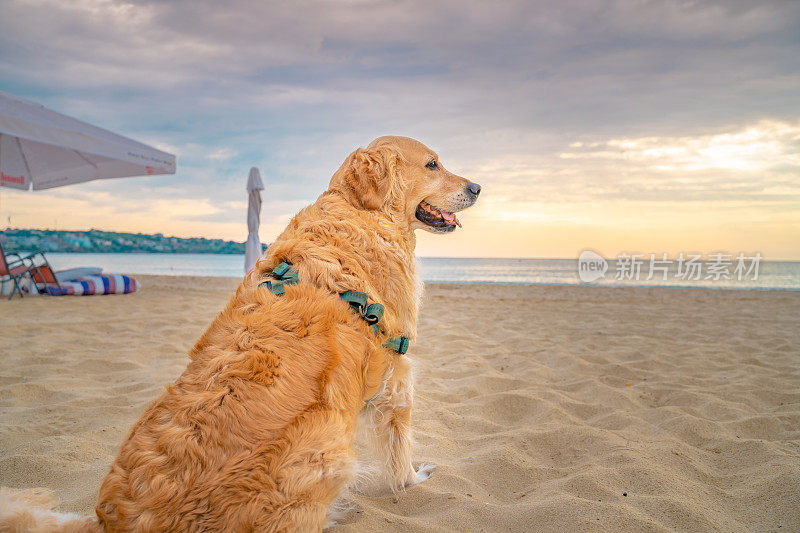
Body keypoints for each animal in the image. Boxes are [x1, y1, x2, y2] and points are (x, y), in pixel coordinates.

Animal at [0, 135, 482, 528]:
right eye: (433, 164)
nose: (478, 187)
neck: (358, 210)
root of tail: (109, 521)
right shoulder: (397, 374)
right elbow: (400, 449)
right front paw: (413, 479)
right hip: (326, 447)